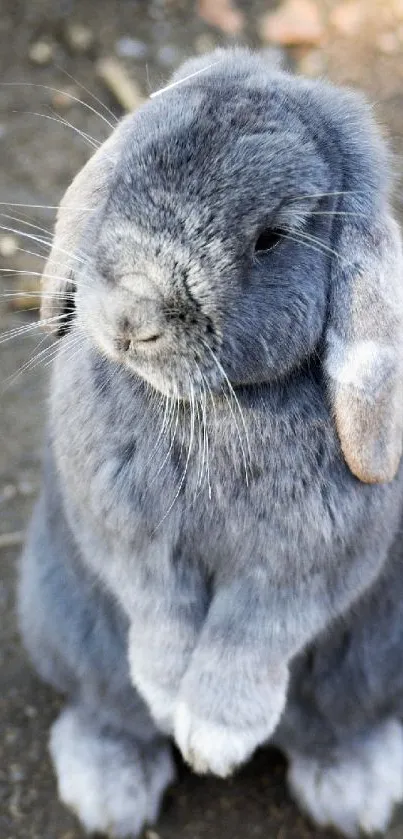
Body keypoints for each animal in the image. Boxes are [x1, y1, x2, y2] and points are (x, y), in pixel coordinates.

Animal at [18, 49, 403, 836]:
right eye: (124, 174)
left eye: (270, 238)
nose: (132, 317)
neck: (210, 407)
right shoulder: (128, 539)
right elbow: (160, 613)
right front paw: (173, 702)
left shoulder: (303, 567)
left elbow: (249, 635)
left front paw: (215, 740)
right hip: (64, 625)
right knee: (109, 709)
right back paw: (108, 790)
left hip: (373, 666)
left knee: (334, 726)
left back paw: (354, 789)